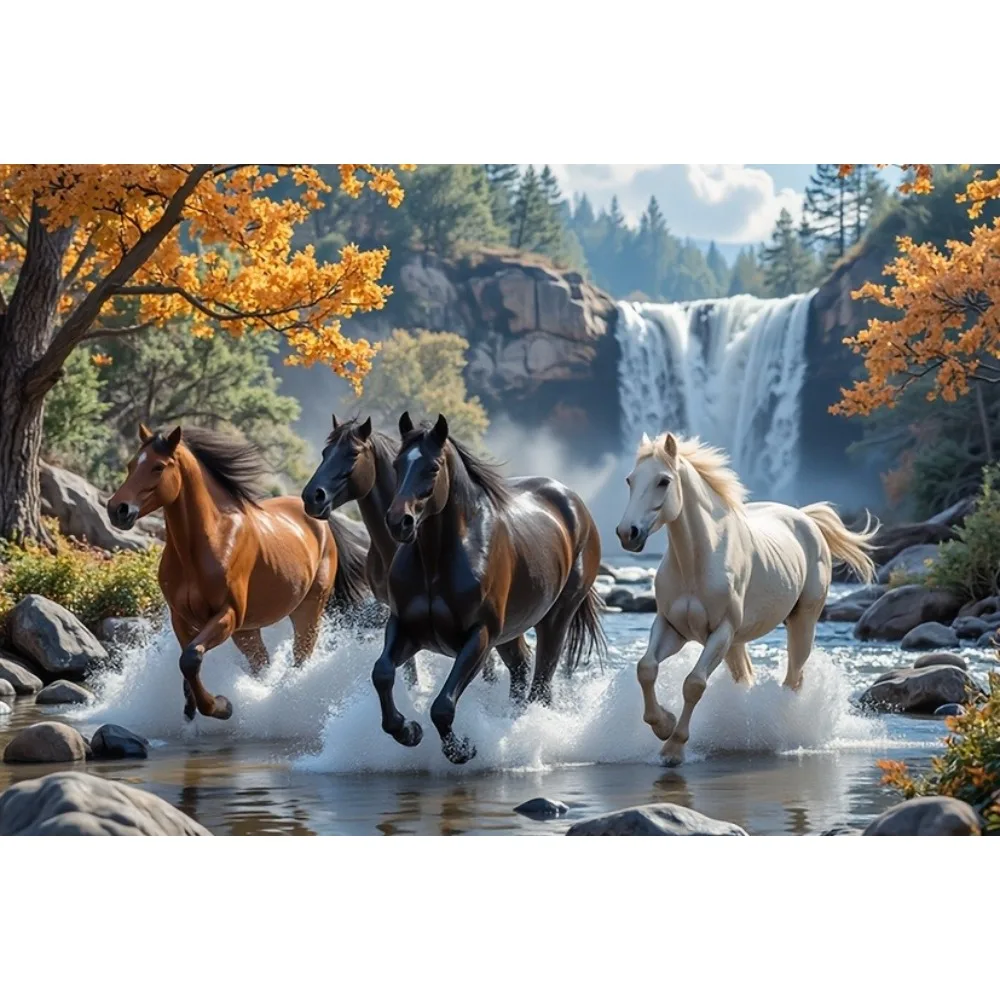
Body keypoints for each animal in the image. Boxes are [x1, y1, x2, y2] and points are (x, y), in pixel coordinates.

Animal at [107, 424, 369, 721]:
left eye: (158, 467)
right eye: (131, 465)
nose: (118, 509)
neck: (205, 544)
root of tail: (321, 520)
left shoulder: (227, 614)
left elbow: (190, 659)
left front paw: (221, 707)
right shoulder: (182, 618)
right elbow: (186, 661)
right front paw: (191, 708)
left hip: (307, 610)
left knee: (300, 655)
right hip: (248, 630)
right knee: (261, 663)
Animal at [374, 411, 606, 764]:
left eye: (433, 467)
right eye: (397, 464)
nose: (398, 522)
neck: (435, 562)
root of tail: (575, 504)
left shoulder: (479, 637)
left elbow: (443, 706)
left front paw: (462, 750)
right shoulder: (406, 629)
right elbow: (382, 673)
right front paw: (407, 730)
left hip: (556, 618)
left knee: (541, 683)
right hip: (511, 632)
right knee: (522, 669)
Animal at [616, 431, 877, 766]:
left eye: (663, 481)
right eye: (630, 480)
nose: (628, 533)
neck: (696, 562)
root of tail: (806, 518)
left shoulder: (721, 632)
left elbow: (694, 684)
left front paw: (674, 747)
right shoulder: (672, 628)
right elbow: (646, 668)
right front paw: (664, 725)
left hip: (800, 624)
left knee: (793, 679)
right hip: (736, 644)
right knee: (747, 678)